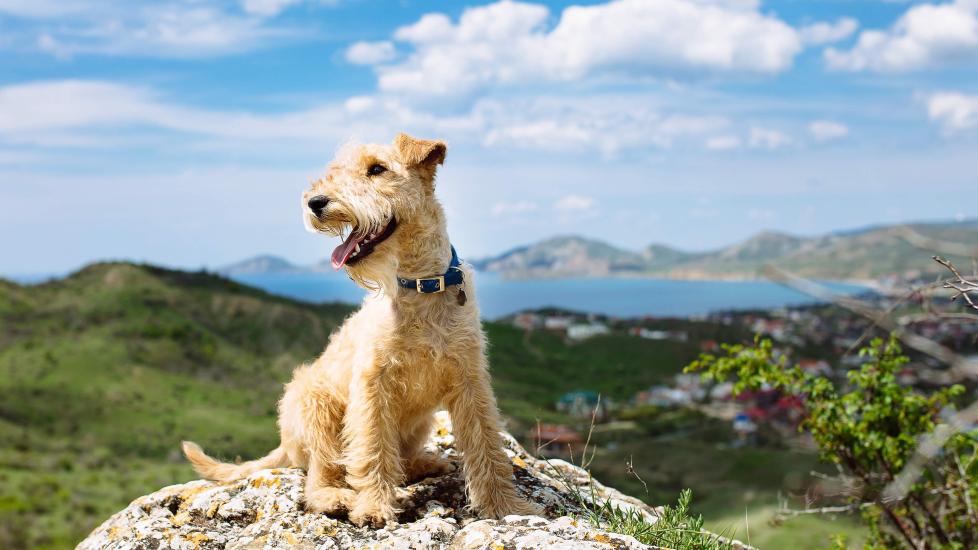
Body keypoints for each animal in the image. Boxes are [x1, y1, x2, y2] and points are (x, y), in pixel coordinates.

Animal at [183, 132, 540, 528]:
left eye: (377, 169)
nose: (315, 202)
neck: (419, 286)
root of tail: (285, 443)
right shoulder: (373, 384)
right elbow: (373, 448)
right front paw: (372, 507)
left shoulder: (470, 381)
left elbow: (487, 446)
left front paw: (506, 507)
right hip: (316, 409)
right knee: (319, 477)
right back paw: (336, 497)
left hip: (419, 423)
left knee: (398, 459)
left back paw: (425, 463)